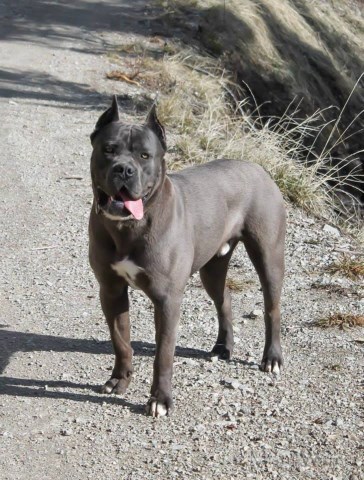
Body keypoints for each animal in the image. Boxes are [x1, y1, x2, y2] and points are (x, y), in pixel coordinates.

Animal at [89, 94, 288, 416]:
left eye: (144, 155)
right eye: (108, 149)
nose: (123, 170)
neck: (129, 227)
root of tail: (259, 168)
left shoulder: (167, 300)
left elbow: (163, 354)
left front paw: (160, 399)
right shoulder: (111, 290)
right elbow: (120, 340)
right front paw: (119, 381)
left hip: (269, 256)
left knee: (273, 307)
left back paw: (272, 358)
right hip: (212, 267)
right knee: (224, 298)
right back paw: (223, 347)